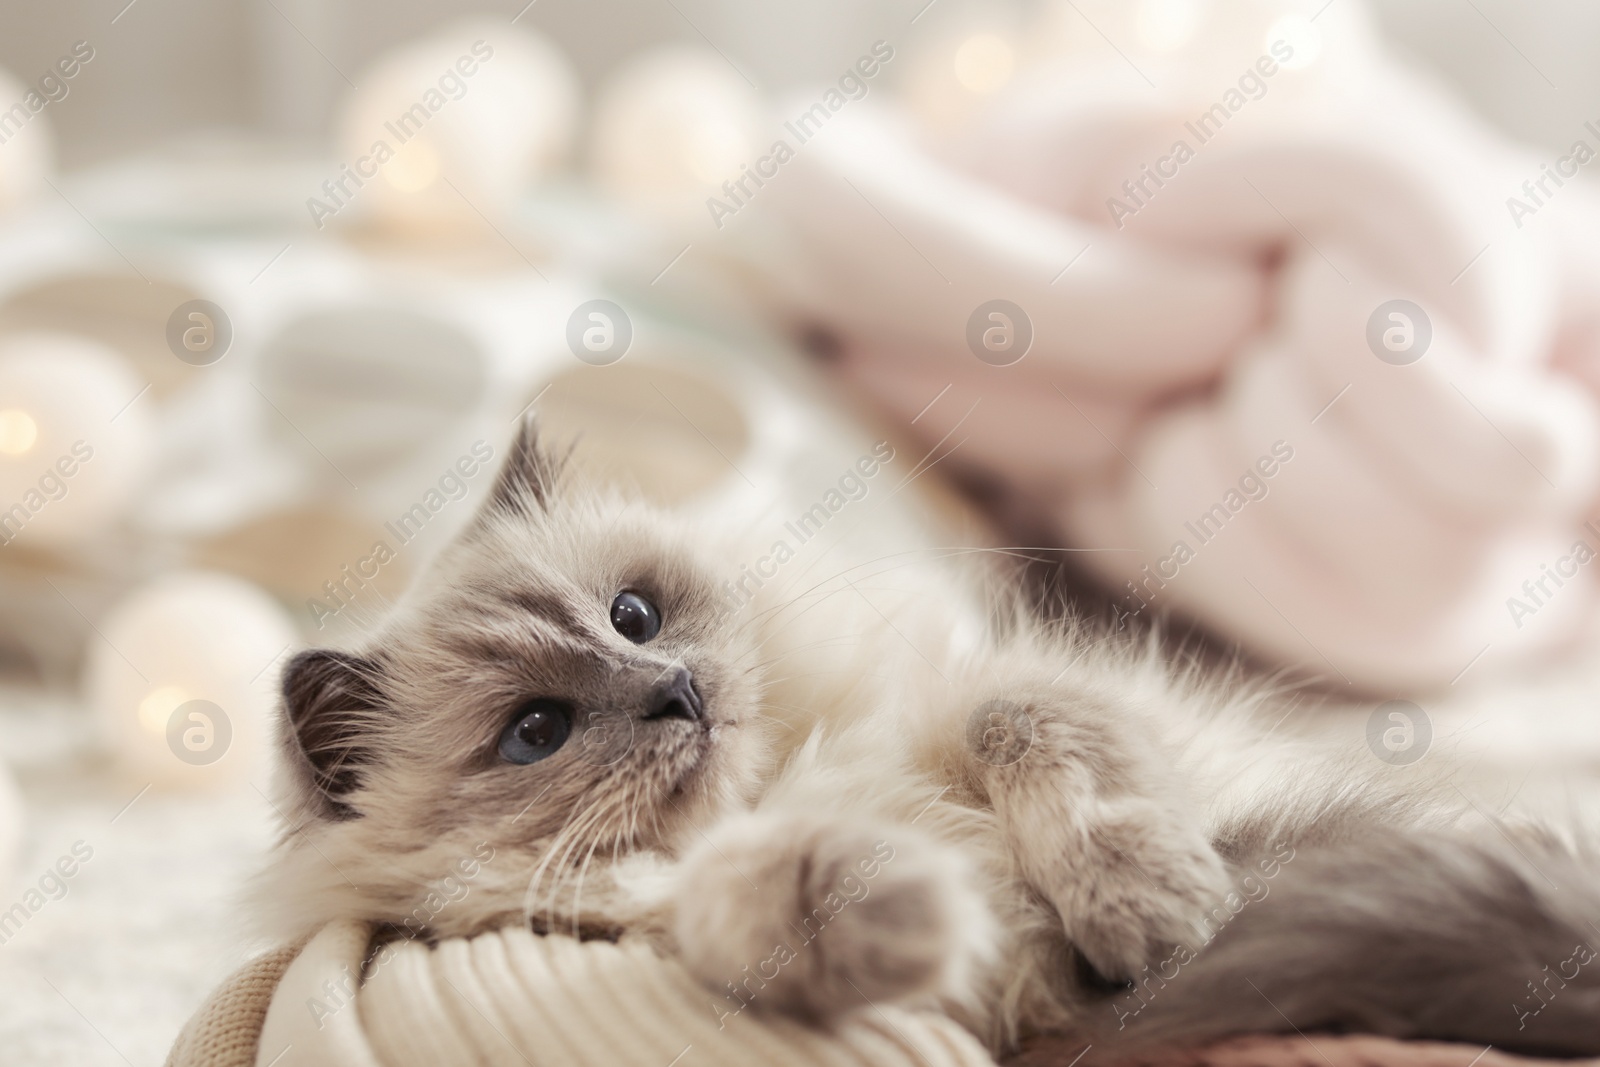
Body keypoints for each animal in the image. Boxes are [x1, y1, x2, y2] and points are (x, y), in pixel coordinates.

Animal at [252, 419, 1600, 1062]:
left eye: (632, 616)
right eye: (536, 730)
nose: (675, 691)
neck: (795, 782)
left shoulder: (1007, 692)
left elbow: (1035, 739)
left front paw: (1148, 902)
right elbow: (755, 907)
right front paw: (882, 895)